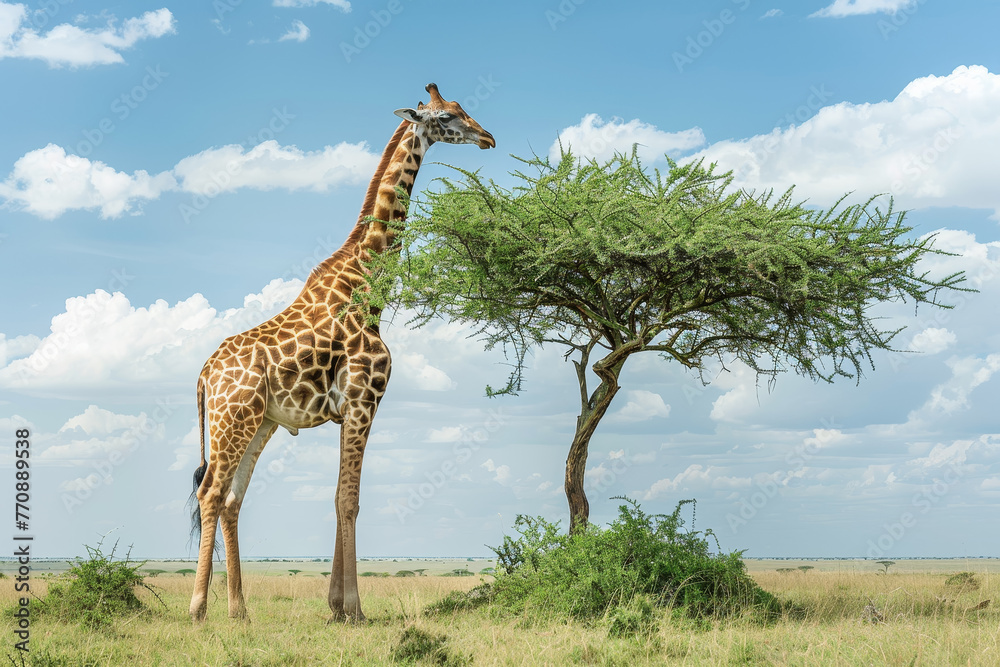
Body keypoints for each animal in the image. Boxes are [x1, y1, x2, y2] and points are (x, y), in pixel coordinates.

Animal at [188, 83, 495, 623]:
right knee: (211, 493)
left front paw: (335, 607)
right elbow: (349, 500)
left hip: (259, 423)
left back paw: (240, 611)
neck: (367, 286)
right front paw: (354, 609)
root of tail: (205, 374)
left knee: (231, 499)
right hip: (233, 421)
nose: (488, 137)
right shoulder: (363, 401)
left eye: (461, 110)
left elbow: (336, 498)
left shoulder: (347, 409)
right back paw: (199, 609)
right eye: (447, 117)